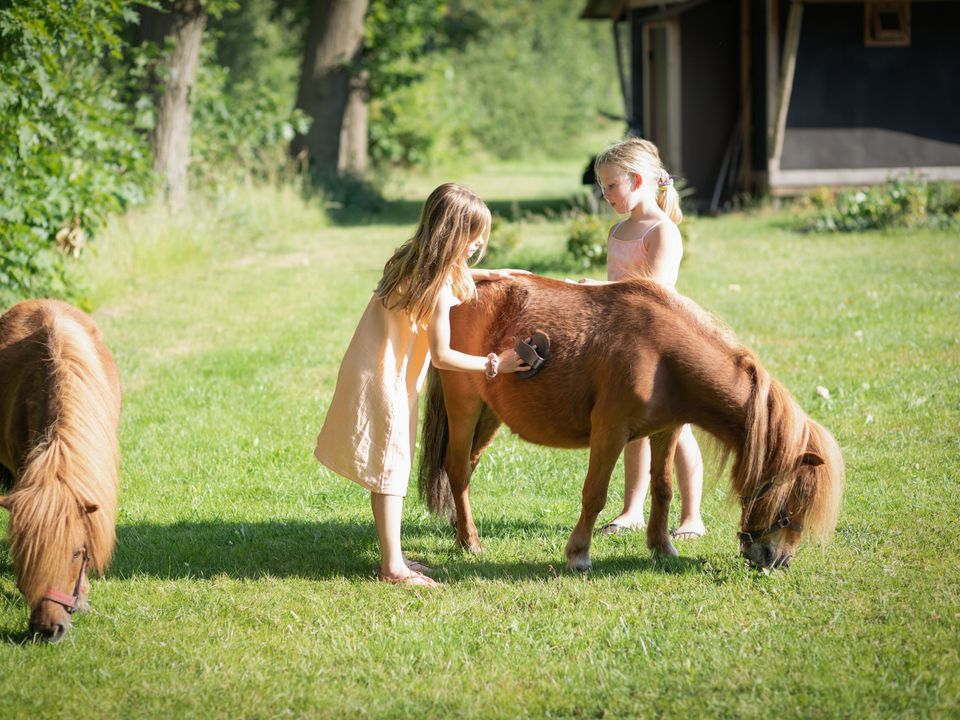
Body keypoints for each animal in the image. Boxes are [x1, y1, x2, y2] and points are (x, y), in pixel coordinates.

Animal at [418, 278, 840, 572]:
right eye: (794, 499)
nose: (778, 559)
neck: (662, 356)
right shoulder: (610, 432)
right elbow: (595, 495)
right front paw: (579, 554)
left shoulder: (667, 431)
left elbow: (664, 489)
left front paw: (662, 546)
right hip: (465, 406)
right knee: (457, 469)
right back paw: (471, 541)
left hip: (489, 415)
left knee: (466, 469)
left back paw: (460, 531)